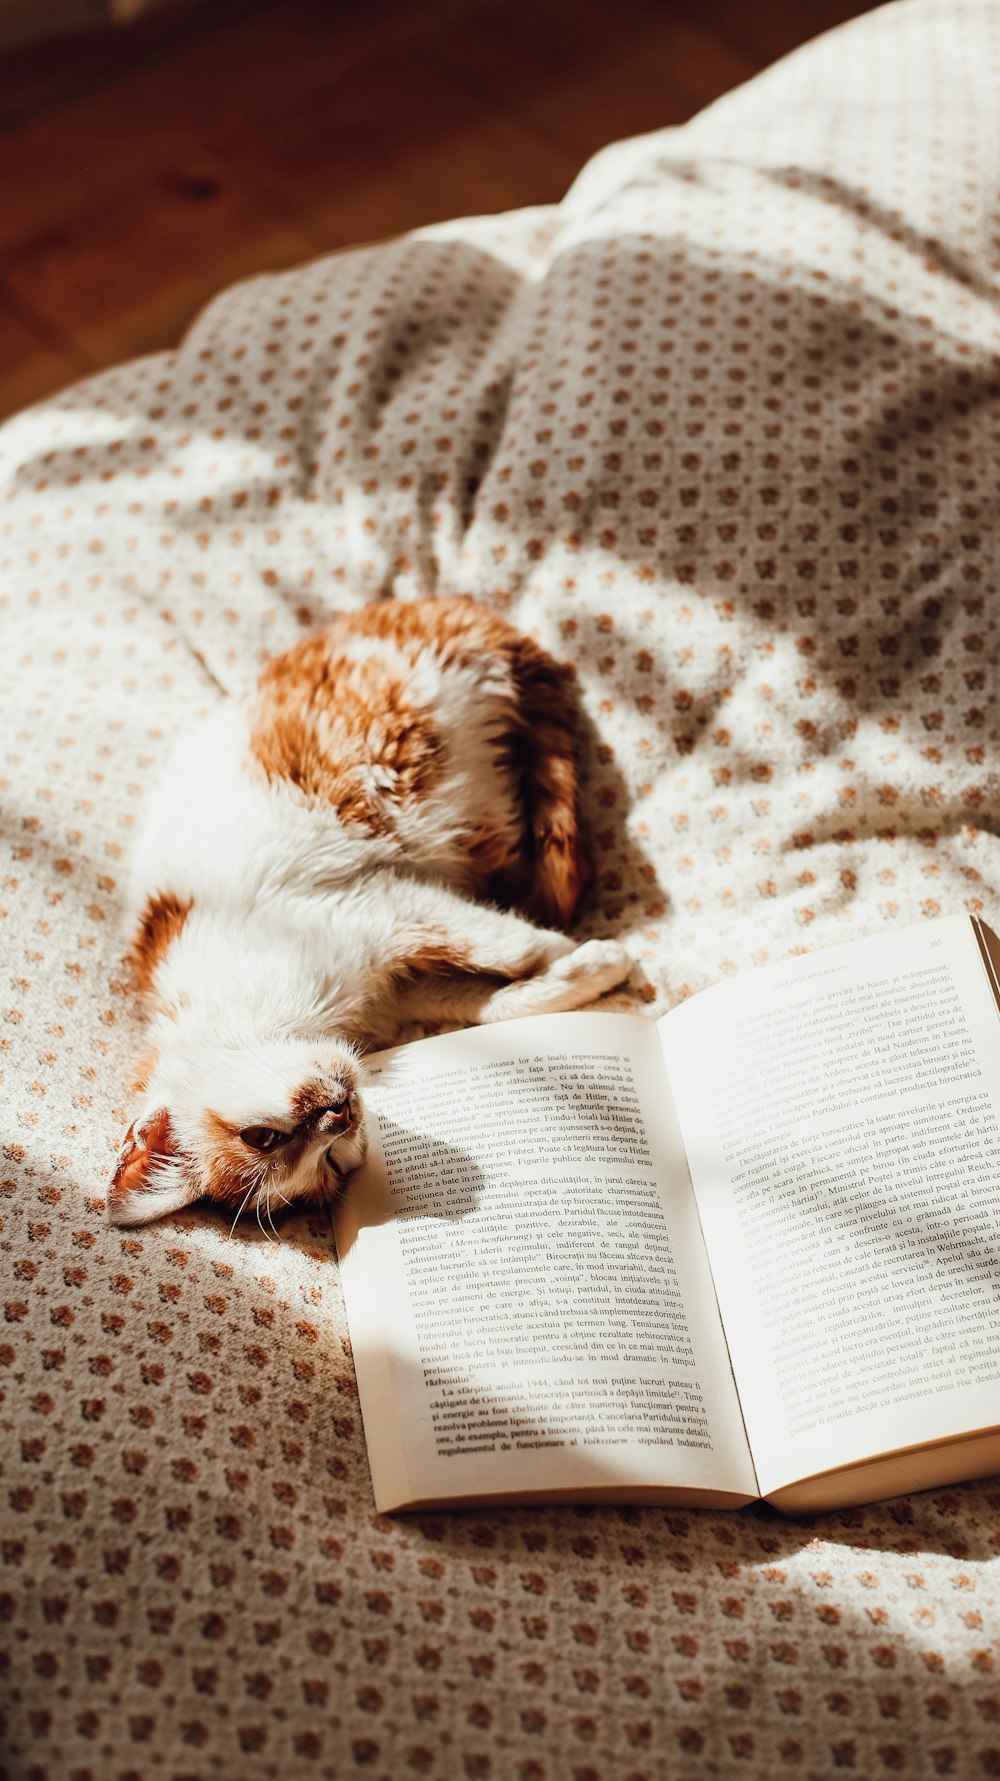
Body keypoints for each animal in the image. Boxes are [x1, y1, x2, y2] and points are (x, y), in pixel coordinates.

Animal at [107, 594, 623, 1225]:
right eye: (331, 1163)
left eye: (261, 1138)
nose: (339, 1115)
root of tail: (442, 606)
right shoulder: (403, 983)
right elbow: (491, 1002)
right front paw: (587, 969)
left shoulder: (374, 904)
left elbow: (514, 946)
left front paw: (582, 951)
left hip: (417, 772)